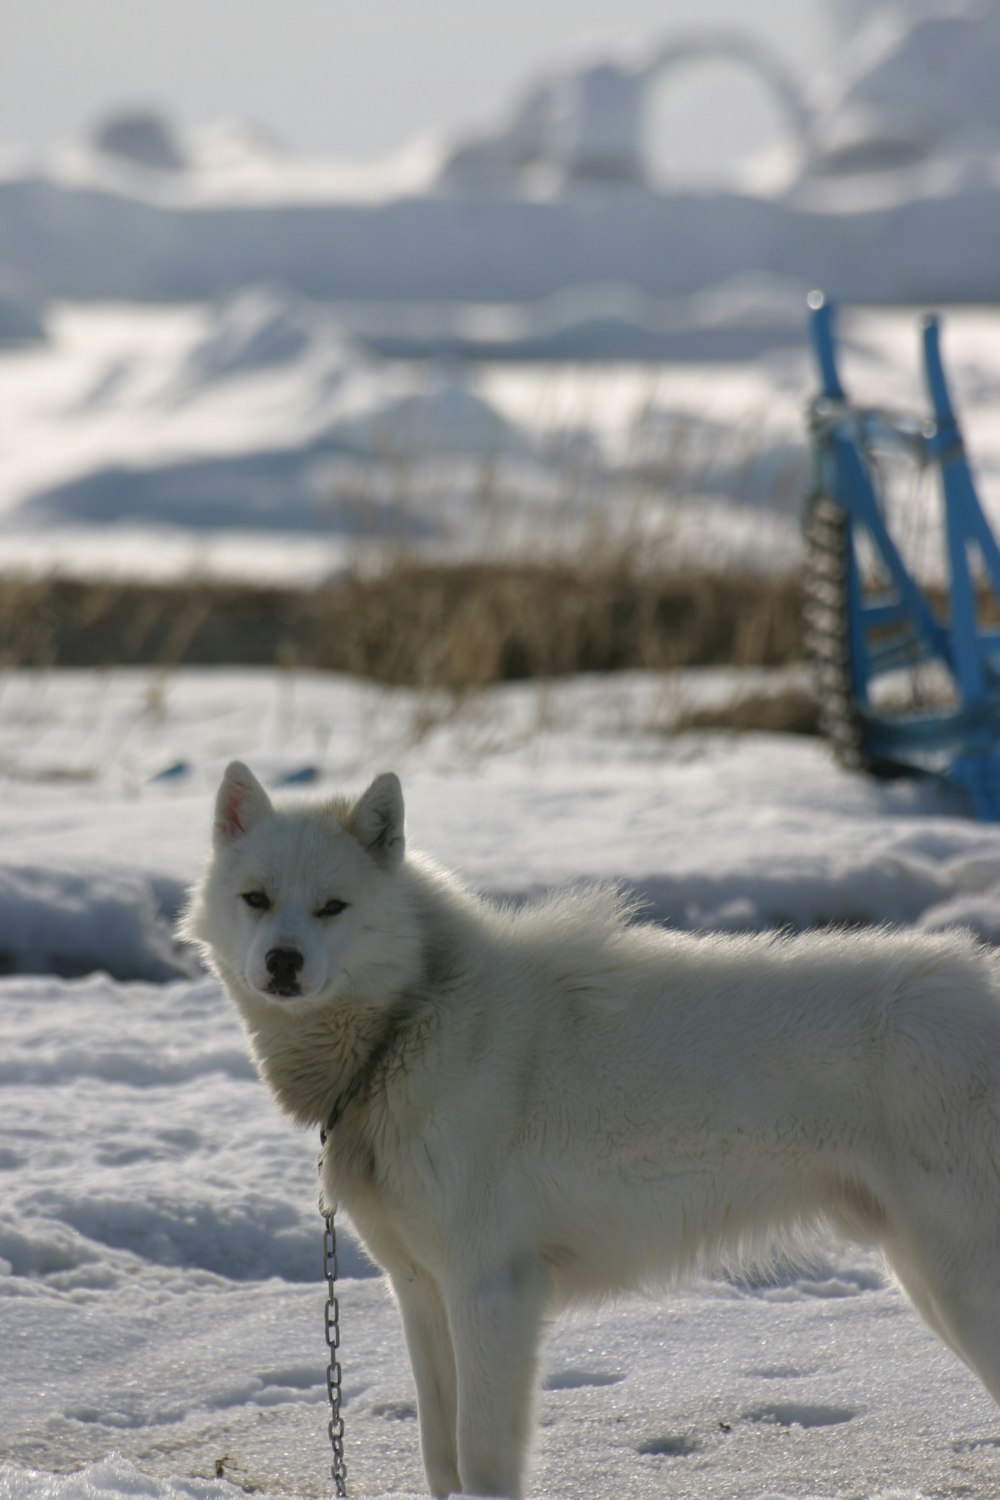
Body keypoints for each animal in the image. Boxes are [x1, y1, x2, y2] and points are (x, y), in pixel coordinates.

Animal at [183, 768, 1000, 1494]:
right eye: (256, 899)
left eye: (333, 907)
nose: (281, 962)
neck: (410, 1017)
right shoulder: (421, 1293)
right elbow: (440, 1458)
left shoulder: (493, 1292)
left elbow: (481, 1460)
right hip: (925, 1277)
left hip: (959, 1283)